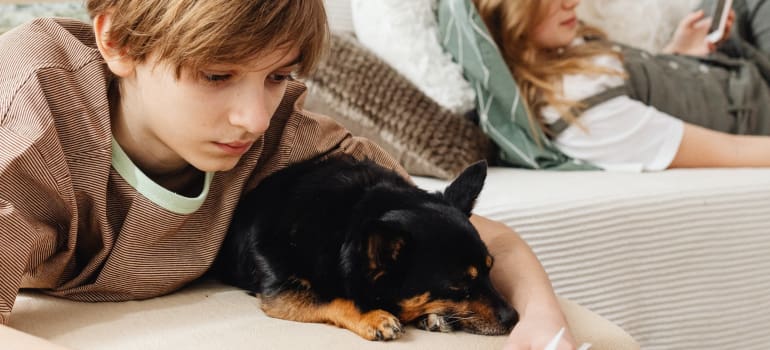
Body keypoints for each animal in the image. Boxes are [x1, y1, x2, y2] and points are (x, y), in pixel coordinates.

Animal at [216, 154, 516, 340]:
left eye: (490, 271)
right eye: (458, 286)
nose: (514, 318)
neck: (343, 223)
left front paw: (433, 316)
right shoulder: (282, 290)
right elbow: (332, 297)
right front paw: (373, 316)